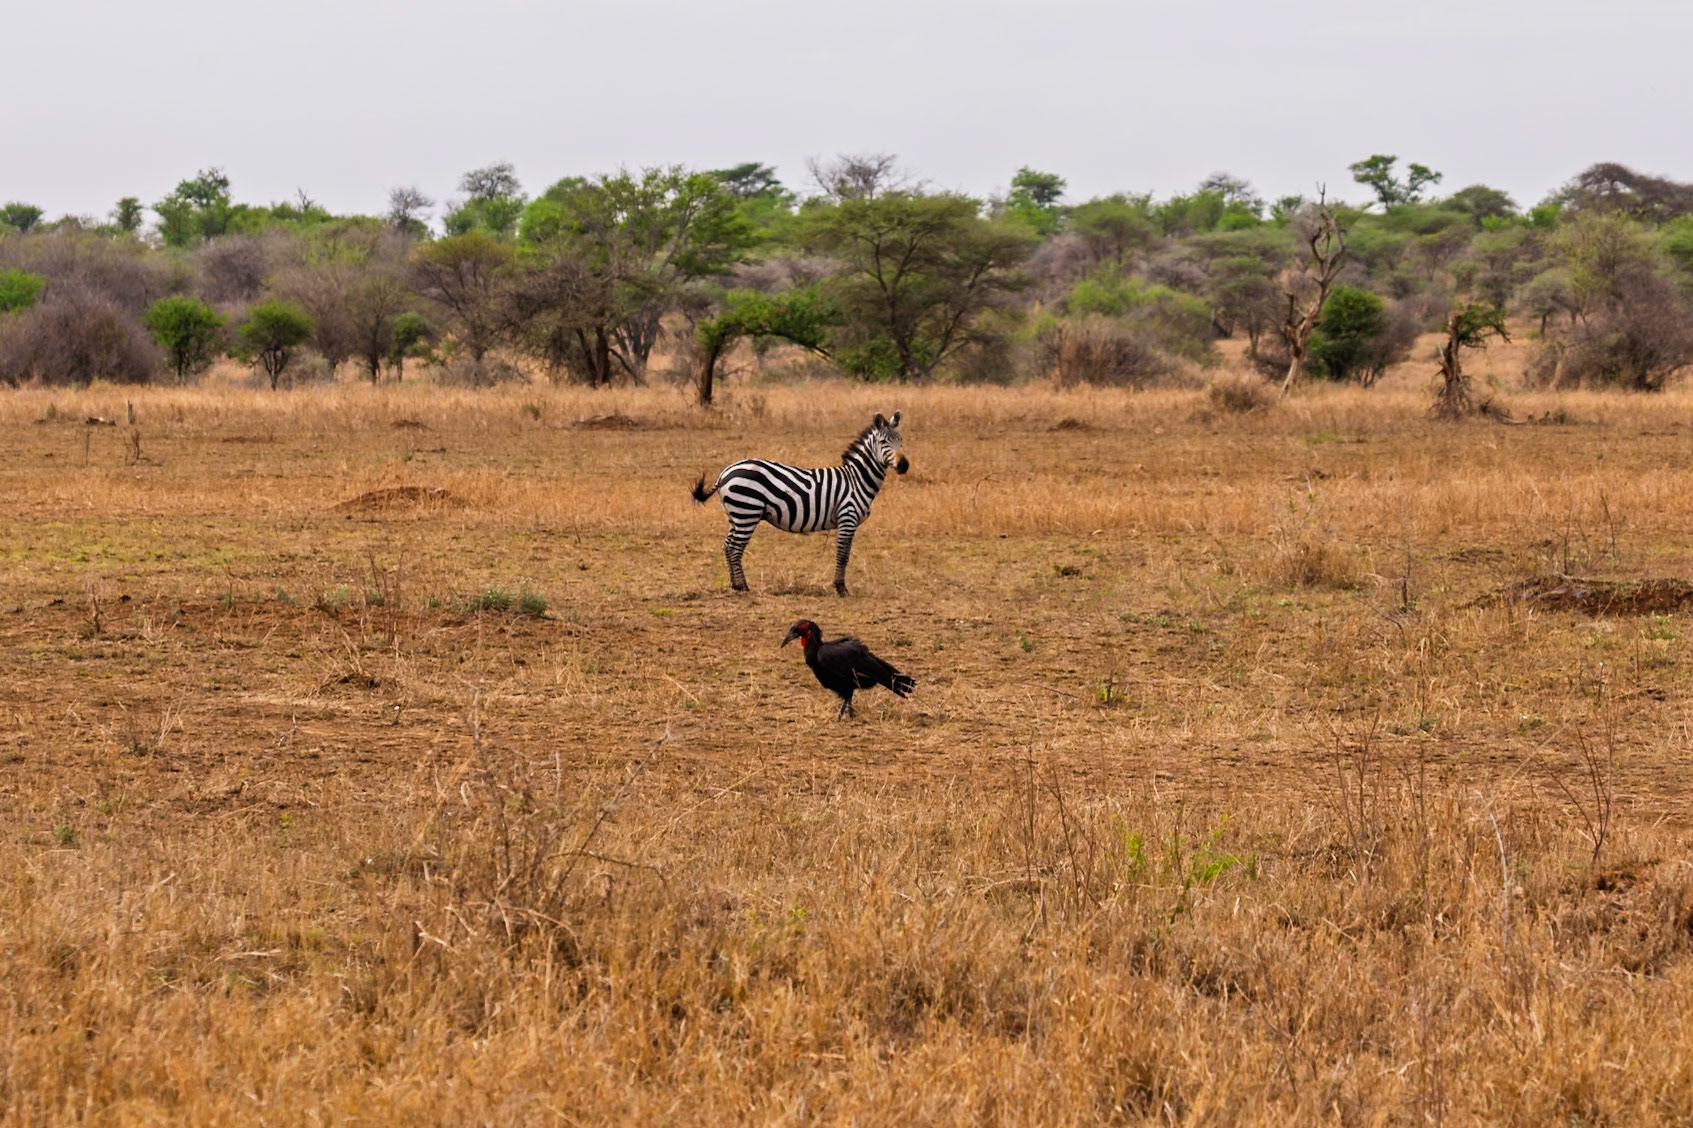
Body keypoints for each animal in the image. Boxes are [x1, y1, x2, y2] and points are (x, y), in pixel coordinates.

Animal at [691, 411, 908, 596]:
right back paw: (743, 586)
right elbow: (843, 555)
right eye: (883, 441)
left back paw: (735, 585)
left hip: (736, 515)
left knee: (727, 545)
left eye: (901, 440)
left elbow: (844, 554)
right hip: (747, 512)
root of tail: (725, 472)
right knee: (735, 548)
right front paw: (840, 589)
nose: (904, 465)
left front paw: (840, 587)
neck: (857, 479)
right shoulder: (847, 517)